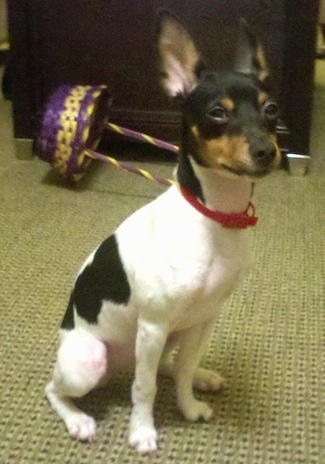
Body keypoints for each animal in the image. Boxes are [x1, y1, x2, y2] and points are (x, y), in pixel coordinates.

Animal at [44, 11, 280, 456]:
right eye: (217, 113)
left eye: (271, 109)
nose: (267, 151)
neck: (214, 217)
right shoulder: (153, 325)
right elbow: (144, 389)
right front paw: (142, 431)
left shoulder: (202, 320)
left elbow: (182, 372)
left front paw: (188, 405)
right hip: (90, 362)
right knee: (57, 389)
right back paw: (79, 420)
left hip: (173, 335)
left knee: (168, 366)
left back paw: (202, 375)